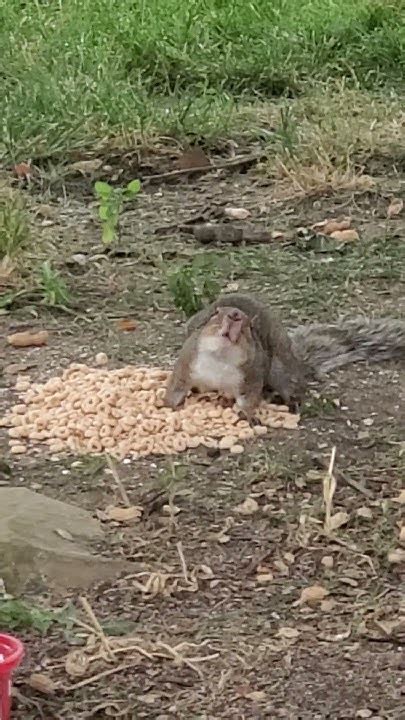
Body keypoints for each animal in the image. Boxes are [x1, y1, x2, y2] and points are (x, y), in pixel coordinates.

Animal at [164, 292, 405, 416]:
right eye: (215, 314)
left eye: (250, 327)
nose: (234, 315)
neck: (221, 357)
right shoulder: (186, 364)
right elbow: (176, 387)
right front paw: (167, 405)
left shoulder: (252, 376)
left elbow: (249, 398)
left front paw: (246, 415)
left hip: (281, 371)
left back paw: (293, 404)